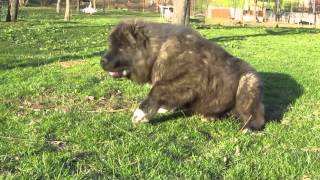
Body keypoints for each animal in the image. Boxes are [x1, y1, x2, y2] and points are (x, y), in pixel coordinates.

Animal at [100, 21, 264, 130]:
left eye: (121, 47)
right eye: (111, 45)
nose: (102, 61)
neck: (157, 51)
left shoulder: (190, 80)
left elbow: (157, 89)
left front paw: (141, 114)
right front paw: (163, 108)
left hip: (247, 82)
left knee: (255, 116)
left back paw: (249, 127)